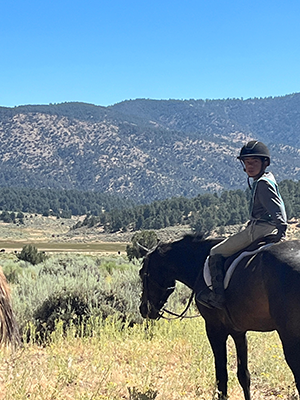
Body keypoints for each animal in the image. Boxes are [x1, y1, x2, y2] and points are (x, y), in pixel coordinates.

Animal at [139, 234, 300, 400]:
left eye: (142, 273)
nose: (144, 309)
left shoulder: (214, 329)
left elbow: (221, 376)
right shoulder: (238, 332)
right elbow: (244, 376)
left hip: (290, 338)